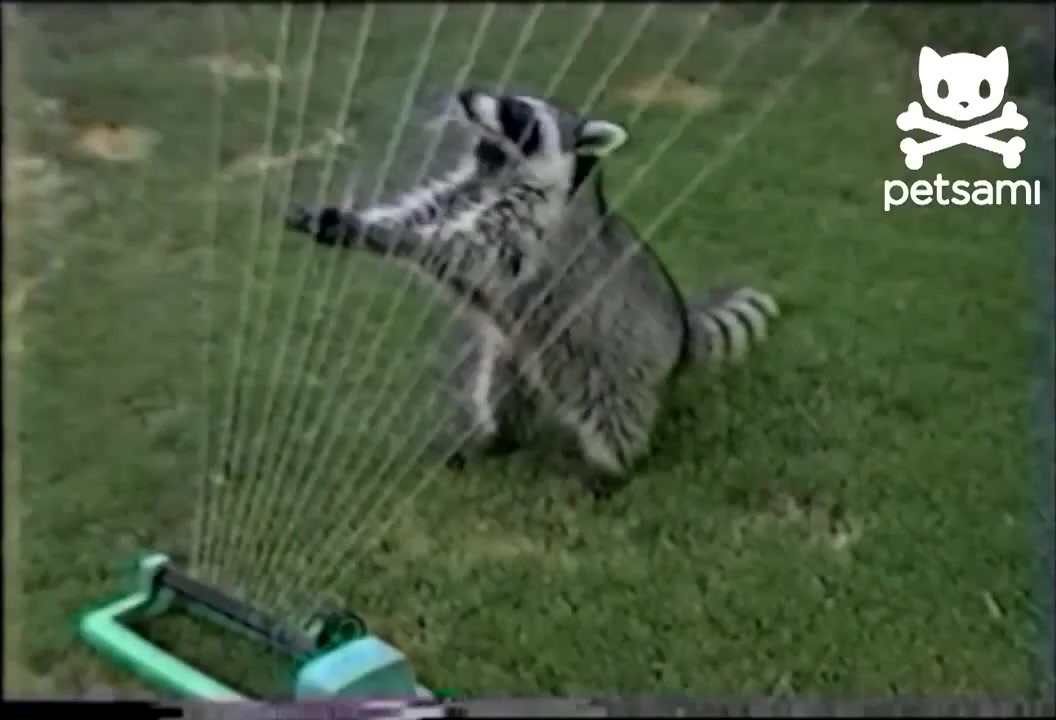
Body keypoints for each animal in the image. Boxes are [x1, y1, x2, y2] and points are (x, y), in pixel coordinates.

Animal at [285, 89, 780, 496]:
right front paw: (361, 223)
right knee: (503, 394)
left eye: (516, 112)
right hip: (517, 357)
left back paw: (611, 467)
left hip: (616, 359)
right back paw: (498, 438)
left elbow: (467, 252)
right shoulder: (464, 189)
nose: (466, 94)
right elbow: (421, 210)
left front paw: (392, 238)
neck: (501, 173)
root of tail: (680, 329)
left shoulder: (533, 230)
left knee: (615, 412)